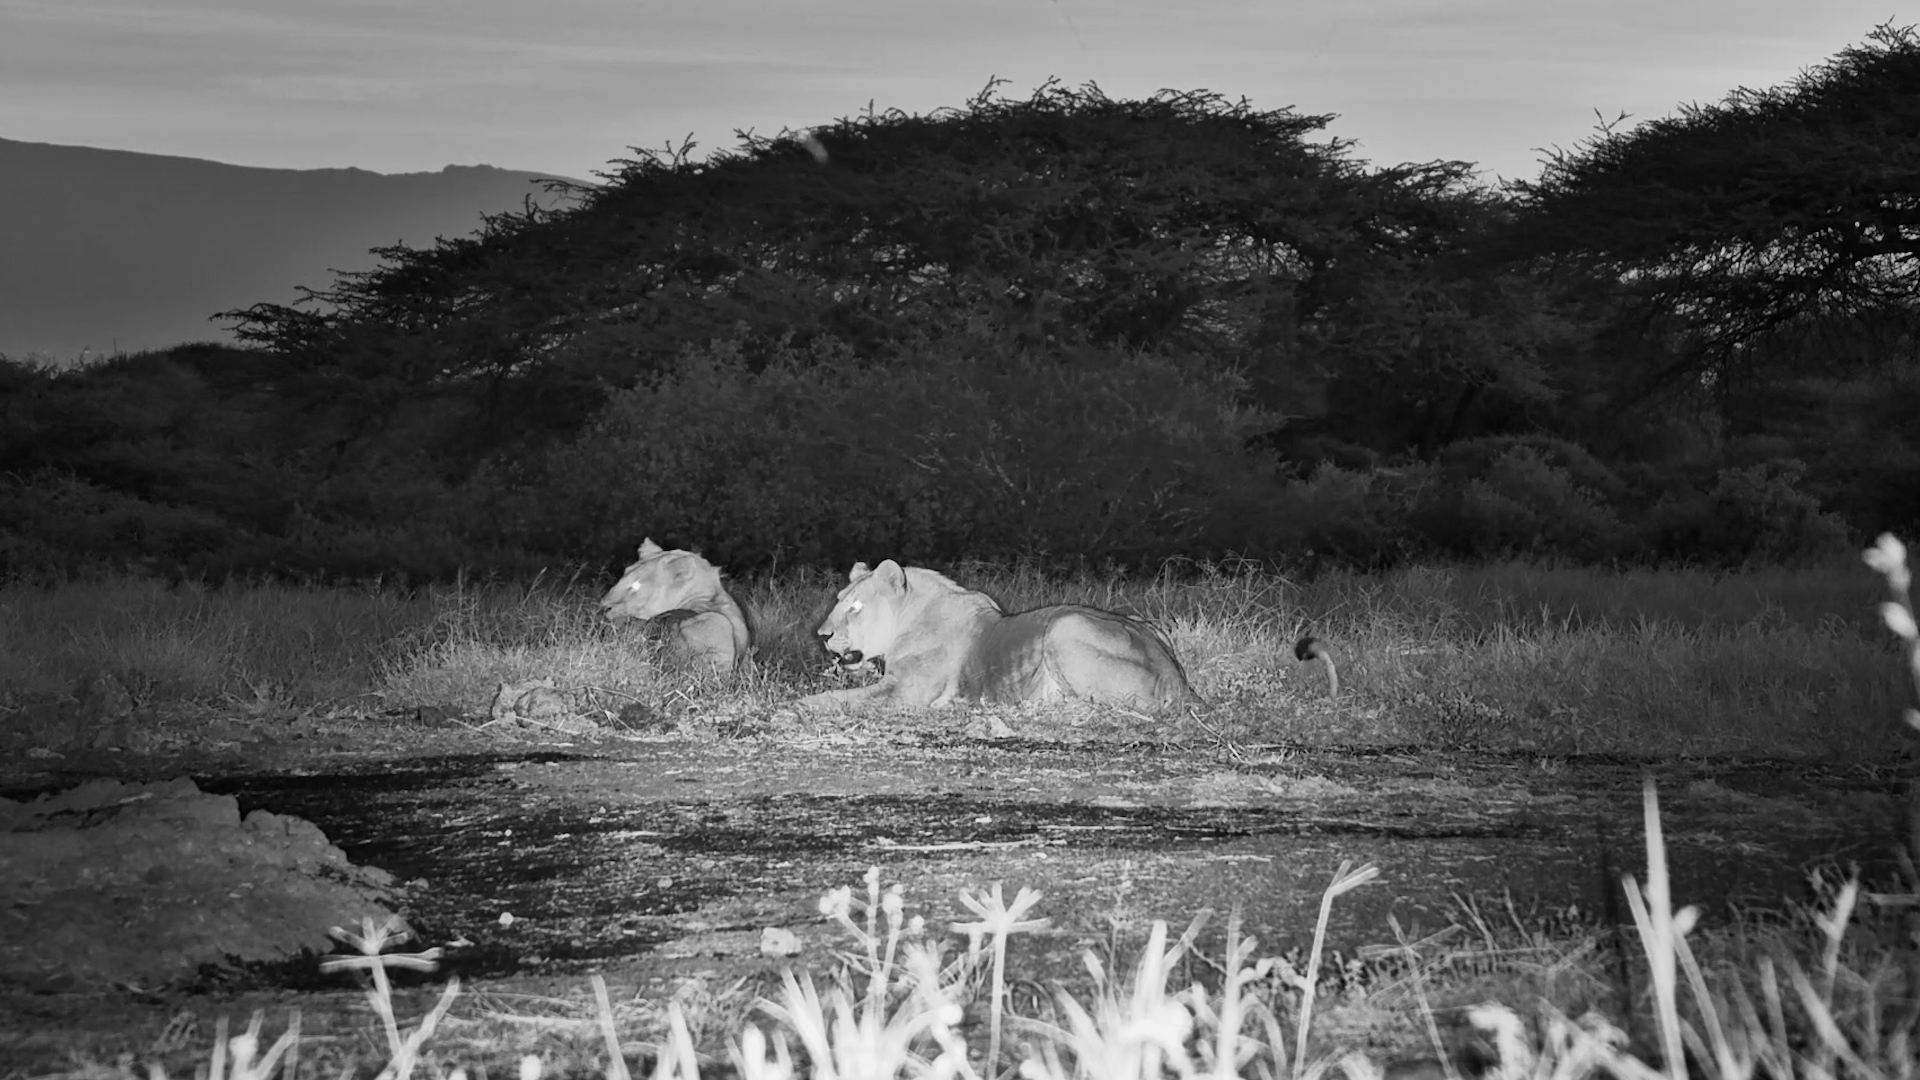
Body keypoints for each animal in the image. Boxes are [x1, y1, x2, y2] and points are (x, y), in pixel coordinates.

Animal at [795, 560, 1200, 712]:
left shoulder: (906, 691)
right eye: (839, 601)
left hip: (1065, 624)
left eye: (856, 607)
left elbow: (838, 698)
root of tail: (1178, 678)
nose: (822, 634)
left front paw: (794, 706)